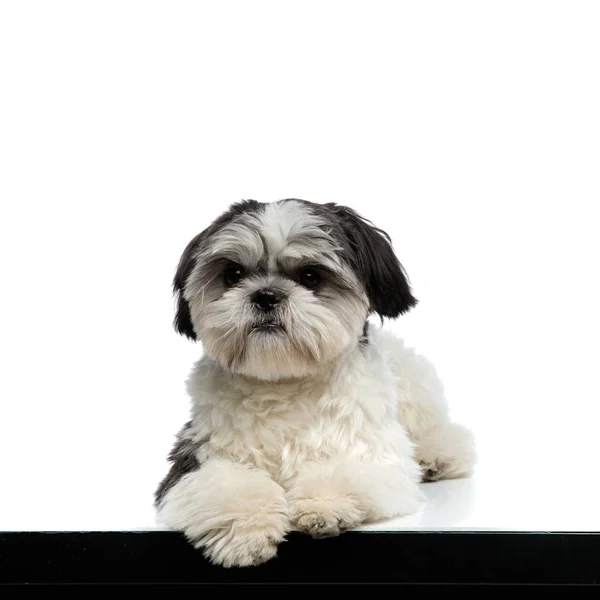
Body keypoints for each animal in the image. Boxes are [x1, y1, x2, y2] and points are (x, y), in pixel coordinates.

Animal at [156, 198, 478, 568]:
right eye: (233, 275)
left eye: (310, 276)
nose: (265, 295)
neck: (284, 381)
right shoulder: (196, 457)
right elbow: (227, 485)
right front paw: (246, 529)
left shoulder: (374, 454)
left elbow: (342, 472)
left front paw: (325, 506)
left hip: (416, 384)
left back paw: (435, 457)